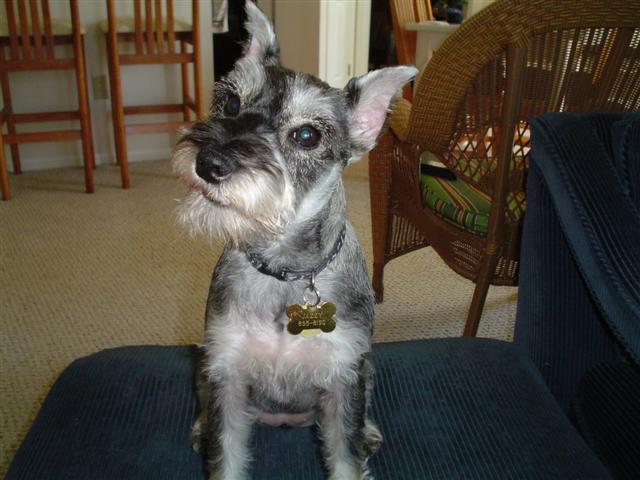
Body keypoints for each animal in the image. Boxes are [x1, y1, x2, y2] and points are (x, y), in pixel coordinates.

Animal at [172, 3, 416, 479]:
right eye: (231, 101)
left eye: (307, 135)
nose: (209, 163)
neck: (283, 269)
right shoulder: (226, 373)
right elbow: (225, 453)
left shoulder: (344, 378)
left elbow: (346, 456)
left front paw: (359, 442)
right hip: (202, 363)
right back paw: (198, 428)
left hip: (366, 371)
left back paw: (370, 430)